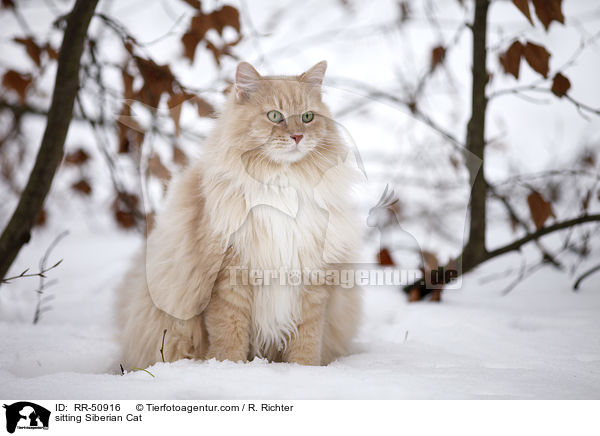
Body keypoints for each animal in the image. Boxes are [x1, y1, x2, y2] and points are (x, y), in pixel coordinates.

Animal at [116, 61, 360, 368]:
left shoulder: (312, 279)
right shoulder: (229, 278)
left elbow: (306, 342)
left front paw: (303, 371)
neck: (282, 187)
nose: (297, 136)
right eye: (274, 116)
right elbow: (229, 338)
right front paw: (230, 370)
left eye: (307, 117)